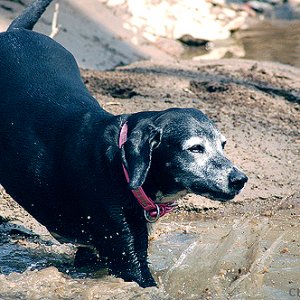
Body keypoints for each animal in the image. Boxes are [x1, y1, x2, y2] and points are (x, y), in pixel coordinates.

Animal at [0, 0, 247, 288]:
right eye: (195, 148)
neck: (119, 166)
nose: (240, 179)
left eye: (223, 145)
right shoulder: (125, 256)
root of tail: (16, 31)